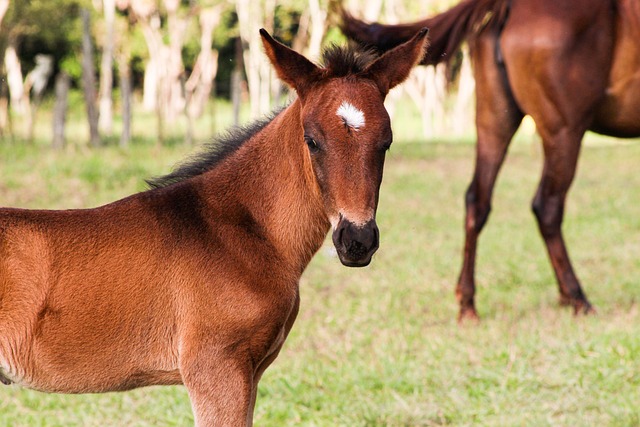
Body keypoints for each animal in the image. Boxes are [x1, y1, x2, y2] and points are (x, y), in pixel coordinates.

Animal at [342, 0, 640, 320]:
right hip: (564, 131)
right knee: (547, 206)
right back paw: (575, 296)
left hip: (494, 121)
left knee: (477, 200)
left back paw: (468, 302)